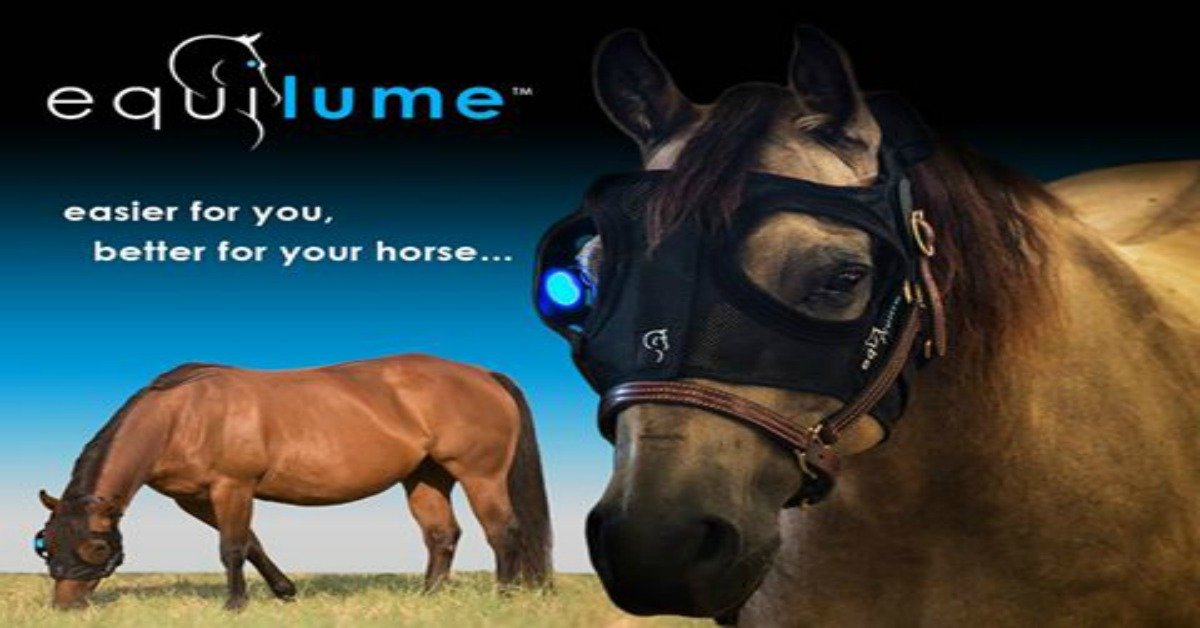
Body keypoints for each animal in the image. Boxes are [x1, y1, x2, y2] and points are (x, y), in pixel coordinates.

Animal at [35, 355, 552, 610]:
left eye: (96, 548)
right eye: (44, 544)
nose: (64, 607)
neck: (182, 416)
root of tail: (484, 374)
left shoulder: (234, 487)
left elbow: (232, 548)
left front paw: (235, 606)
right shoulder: (197, 500)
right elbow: (252, 543)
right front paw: (284, 592)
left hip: (479, 474)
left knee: (502, 531)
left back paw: (505, 598)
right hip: (425, 477)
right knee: (442, 535)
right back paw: (429, 598)